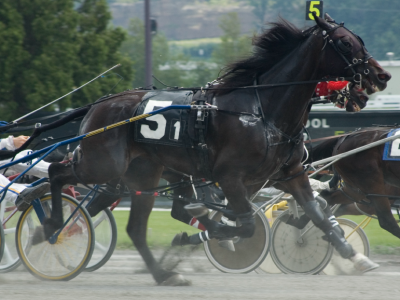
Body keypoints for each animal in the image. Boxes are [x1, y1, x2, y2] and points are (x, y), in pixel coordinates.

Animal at [44, 14, 390, 286]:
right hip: (103, 163)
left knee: (136, 226)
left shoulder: (289, 174)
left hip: (144, 174)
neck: (263, 111)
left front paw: (351, 254)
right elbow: (247, 224)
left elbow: (319, 215)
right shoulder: (231, 176)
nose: (382, 74)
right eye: (345, 43)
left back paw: (165, 273)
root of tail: (99, 104)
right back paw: (51, 228)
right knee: (57, 173)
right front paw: (213, 232)